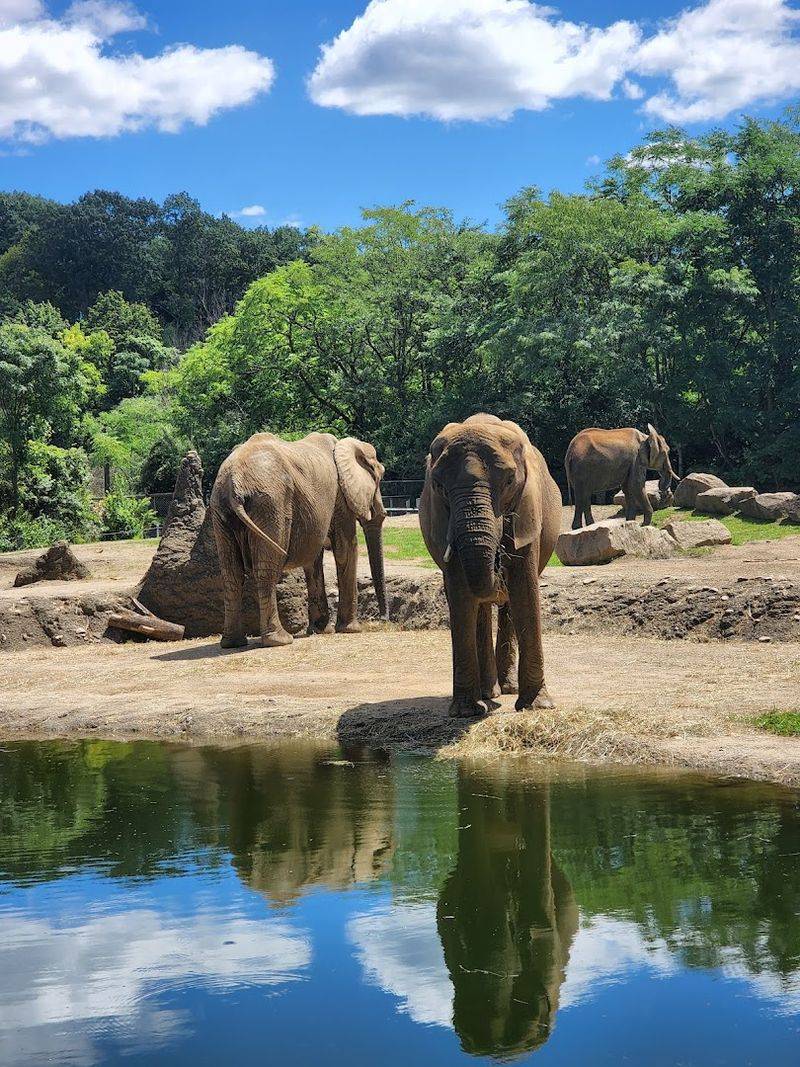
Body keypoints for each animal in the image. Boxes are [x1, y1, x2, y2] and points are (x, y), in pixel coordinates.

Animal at [209, 431, 388, 648]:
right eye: (380, 477)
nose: (383, 619)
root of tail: (234, 481)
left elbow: (313, 559)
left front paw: (321, 630)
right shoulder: (340, 498)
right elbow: (346, 549)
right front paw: (351, 629)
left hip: (220, 510)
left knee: (231, 573)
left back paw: (233, 643)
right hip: (271, 504)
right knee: (266, 570)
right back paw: (280, 640)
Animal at [419, 414, 562, 717]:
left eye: (509, 481)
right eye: (438, 486)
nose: (497, 561)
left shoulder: (528, 508)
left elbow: (524, 589)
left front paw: (536, 707)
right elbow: (461, 595)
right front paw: (466, 712)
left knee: (506, 605)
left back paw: (506, 689)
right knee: (481, 609)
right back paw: (489, 693)